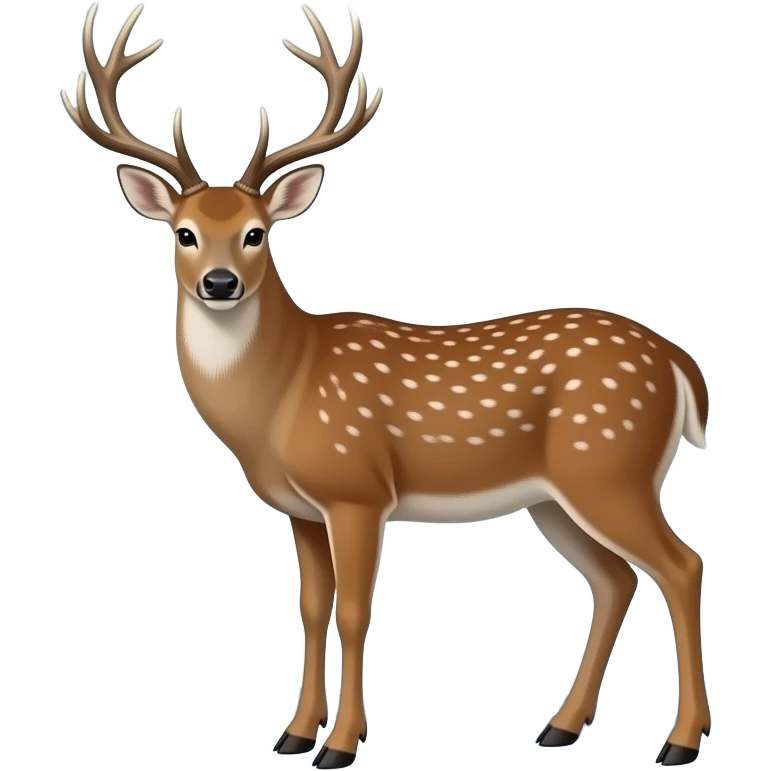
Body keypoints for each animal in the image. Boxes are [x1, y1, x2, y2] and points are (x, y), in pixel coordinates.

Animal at [61, 3, 711, 768]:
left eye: (257, 233)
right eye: (184, 233)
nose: (219, 284)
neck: (280, 396)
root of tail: (678, 362)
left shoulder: (357, 488)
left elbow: (352, 610)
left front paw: (339, 745)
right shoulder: (302, 509)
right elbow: (310, 609)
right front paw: (293, 734)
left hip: (610, 464)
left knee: (680, 565)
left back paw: (679, 740)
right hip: (555, 495)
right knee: (614, 579)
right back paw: (559, 726)